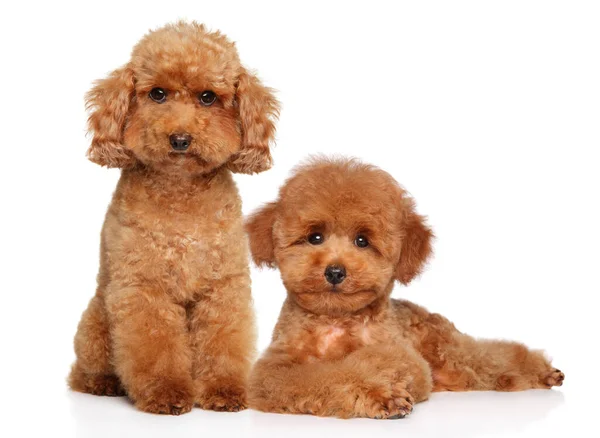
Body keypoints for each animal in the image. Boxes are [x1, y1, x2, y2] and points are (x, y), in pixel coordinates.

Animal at [69, 22, 280, 416]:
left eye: (208, 97)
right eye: (158, 94)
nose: (180, 139)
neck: (180, 194)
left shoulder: (222, 286)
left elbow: (224, 341)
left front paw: (224, 390)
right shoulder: (144, 286)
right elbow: (155, 345)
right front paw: (166, 392)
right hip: (96, 322)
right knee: (83, 370)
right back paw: (103, 383)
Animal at [244, 158, 564, 420]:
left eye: (362, 241)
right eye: (315, 237)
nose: (335, 271)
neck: (335, 320)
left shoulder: (405, 357)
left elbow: (374, 359)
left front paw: (378, 386)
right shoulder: (273, 371)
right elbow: (327, 375)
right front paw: (378, 395)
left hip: (451, 351)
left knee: (493, 355)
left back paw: (542, 372)